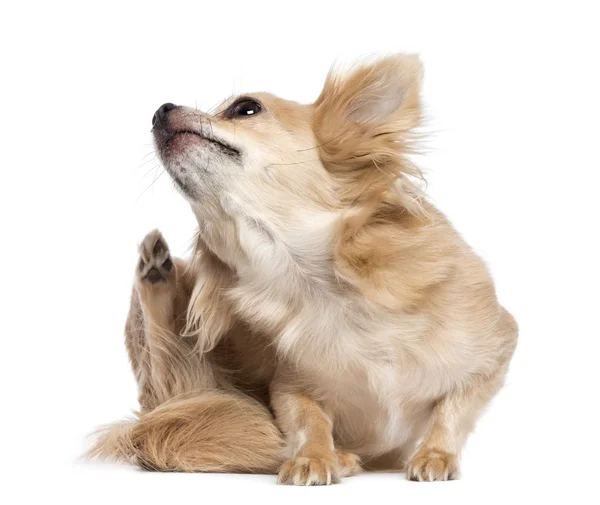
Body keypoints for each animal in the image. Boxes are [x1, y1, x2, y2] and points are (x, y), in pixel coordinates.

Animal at [92, 53, 516, 482]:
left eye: (245, 108)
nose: (160, 110)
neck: (311, 282)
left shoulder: (496, 351)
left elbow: (453, 409)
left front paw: (435, 454)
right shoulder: (289, 386)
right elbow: (309, 419)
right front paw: (315, 456)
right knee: (163, 376)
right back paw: (155, 277)